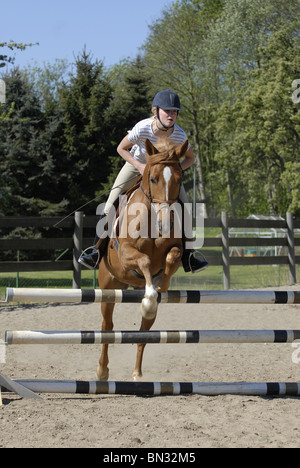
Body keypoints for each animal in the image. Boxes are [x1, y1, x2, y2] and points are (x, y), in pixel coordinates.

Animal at [97, 138, 189, 380]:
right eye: (153, 178)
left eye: (179, 179)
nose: (166, 224)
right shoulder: (126, 252)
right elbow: (144, 261)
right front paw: (150, 295)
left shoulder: (176, 248)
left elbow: (172, 258)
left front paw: (160, 286)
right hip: (109, 288)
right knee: (107, 326)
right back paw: (102, 371)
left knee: (143, 334)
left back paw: (137, 373)